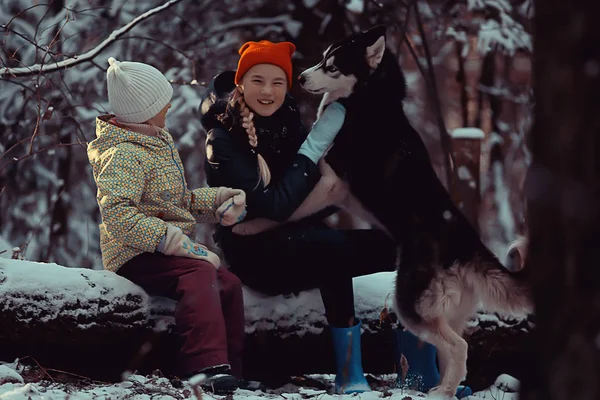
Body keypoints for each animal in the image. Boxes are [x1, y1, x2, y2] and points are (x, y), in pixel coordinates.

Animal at [298, 26, 528, 398]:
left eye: (331, 67)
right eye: (322, 58)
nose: (301, 78)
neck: (367, 99)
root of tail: (468, 245)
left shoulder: (332, 181)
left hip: (410, 306)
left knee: (458, 348)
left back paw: (441, 392)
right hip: (448, 312)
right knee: (455, 350)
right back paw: (446, 387)